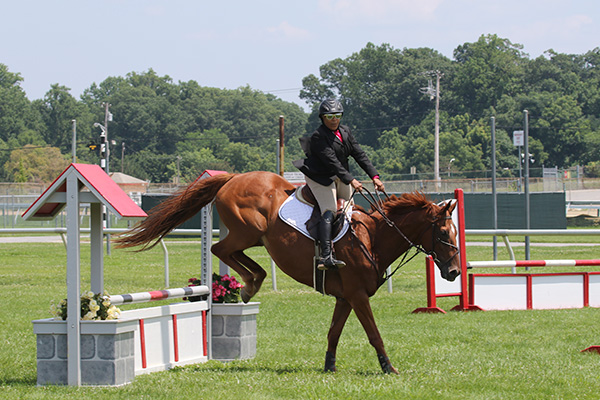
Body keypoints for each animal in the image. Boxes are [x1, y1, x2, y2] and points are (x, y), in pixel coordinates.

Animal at [115, 170, 462, 374]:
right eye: (445, 233)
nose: (455, 272)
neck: (373, 237)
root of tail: (233, 177)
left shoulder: (346, 297)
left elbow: (334, 332)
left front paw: (329, 366)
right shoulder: (358, 296)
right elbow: (374, 333)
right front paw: (388, 368)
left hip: (251, 236)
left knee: (232, 254)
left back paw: (249, 284)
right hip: (247, 230)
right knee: (219, 250)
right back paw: (248, 285)